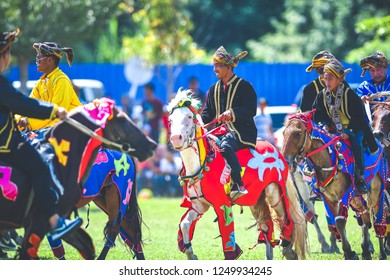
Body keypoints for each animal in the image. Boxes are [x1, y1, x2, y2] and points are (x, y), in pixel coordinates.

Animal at [282, 110, 388, 260]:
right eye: (283, 133)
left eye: (297, 133)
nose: (286, 160)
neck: (328, 160)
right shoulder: (328, 197)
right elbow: (335, 223)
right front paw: (348, 251)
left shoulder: (346, 194)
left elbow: (339, 222)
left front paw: (349, 252)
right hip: (355, 198)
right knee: (364, 215)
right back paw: (366, 250)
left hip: (376, 190)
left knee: (377, 213)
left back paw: (382, 252)